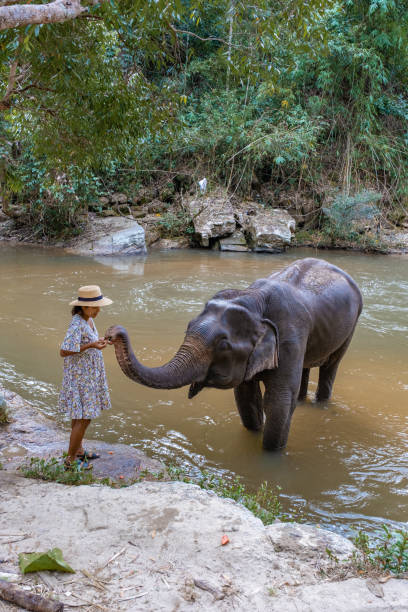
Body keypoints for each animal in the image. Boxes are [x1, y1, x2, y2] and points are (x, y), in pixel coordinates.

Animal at [106, 256, 364, 452]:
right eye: (187, 327)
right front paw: (253, 433)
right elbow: (246, 396)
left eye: (223, 344)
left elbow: (279, 400)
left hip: (350, 329)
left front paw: (270, 456)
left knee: (331, 366)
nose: (112, 332)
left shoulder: (290, 337)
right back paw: (302, 402)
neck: (254, 298)